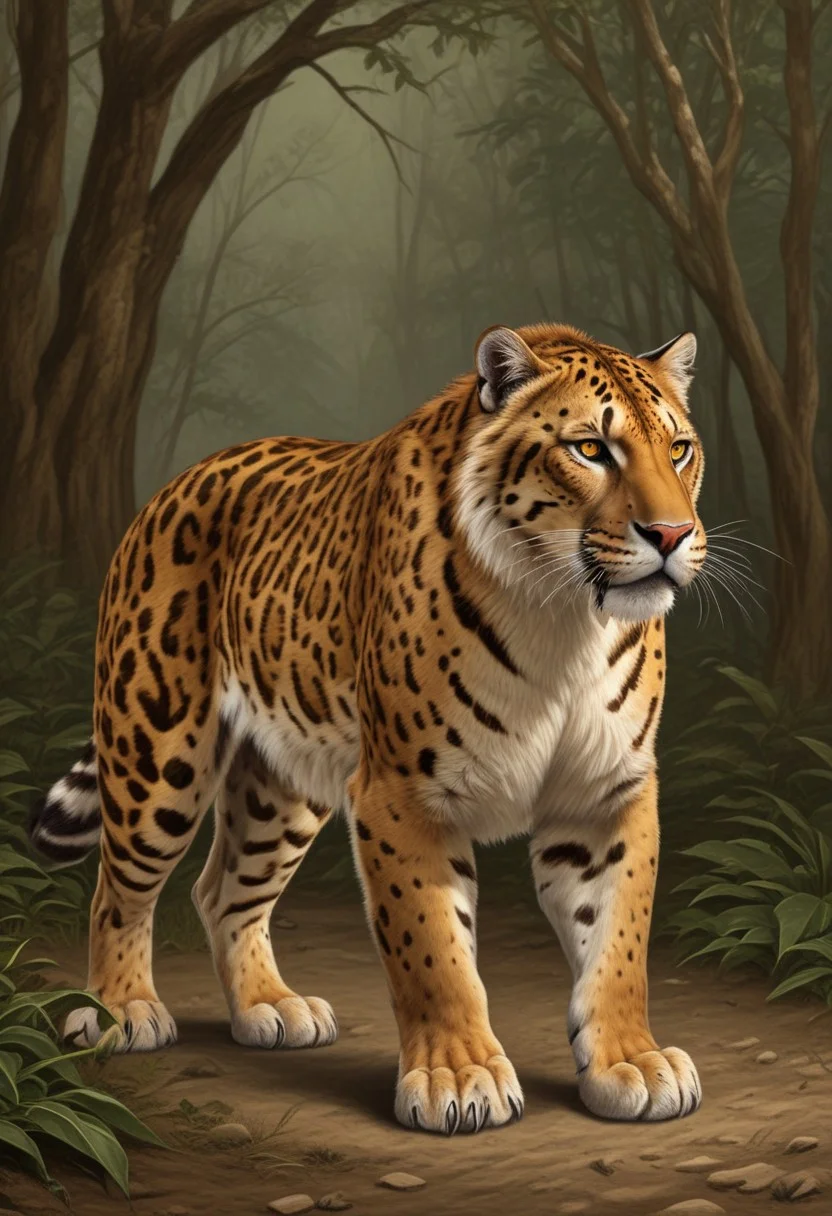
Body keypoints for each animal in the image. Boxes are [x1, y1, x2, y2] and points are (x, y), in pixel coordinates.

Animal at [30, 322, 705, 1133]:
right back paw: (121, 1010)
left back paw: (270, 1008)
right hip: (158, 754)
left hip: (281, 786)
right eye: (590, 449)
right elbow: (433, 948)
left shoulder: (606, 796)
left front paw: (631, 1062)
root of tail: (171, 486)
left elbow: (618, 942)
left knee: (223, 891)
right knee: (118, 890)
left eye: (680, 450)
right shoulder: (401, 794)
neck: (563, 619)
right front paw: (458, 1077)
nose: (671, 533)